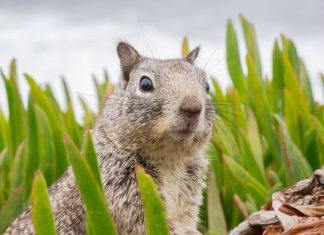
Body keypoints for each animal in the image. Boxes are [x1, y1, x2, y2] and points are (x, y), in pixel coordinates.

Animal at [4, 42, 215, 235]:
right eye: (145, 84)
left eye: (207, 86)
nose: (192, 108)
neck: (170, 159)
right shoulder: (121, 190)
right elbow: (146, 224)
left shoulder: (188, 195)